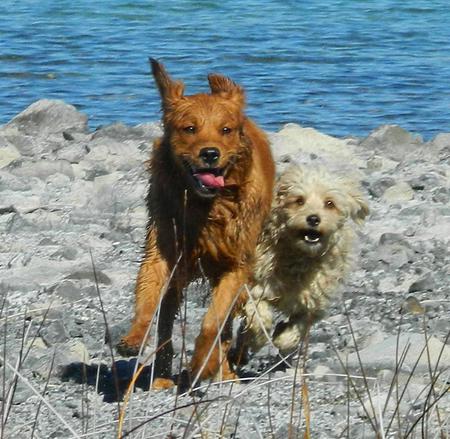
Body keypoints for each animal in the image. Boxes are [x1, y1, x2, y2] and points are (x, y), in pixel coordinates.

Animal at [116, 57, 276, 388]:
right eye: (190, 128)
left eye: (226, 130)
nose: (210, 153)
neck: (207, 207)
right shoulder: (162, 248)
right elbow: (147, 296)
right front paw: (133, 337)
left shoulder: (236, 264)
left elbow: (213, 321)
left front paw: (205, 361)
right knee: (166, 323)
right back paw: (162, 374)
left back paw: (221, 368)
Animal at [237, 165, 368, 358]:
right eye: (299, 200)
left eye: (330, 203)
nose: (313, 219)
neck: (299, 257)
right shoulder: (255, 286)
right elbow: (258, 313)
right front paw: (257, 339)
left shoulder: (315, 301)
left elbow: (300, 324)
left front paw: (284, 338)